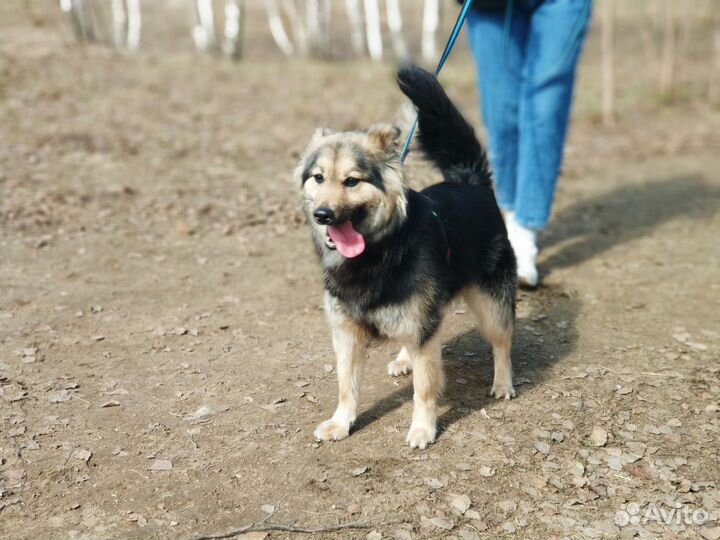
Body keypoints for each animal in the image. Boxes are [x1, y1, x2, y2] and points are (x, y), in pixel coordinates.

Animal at [296, 65, 516, 450]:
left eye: (352, 181)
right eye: (318, 178)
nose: (323, 215)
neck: (379, 250)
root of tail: (469, 180)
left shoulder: (421, 329)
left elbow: (424, 389)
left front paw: (422, 429)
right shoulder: (347, 332)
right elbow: (346, 386)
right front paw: (340, 423)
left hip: (490, 303)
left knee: (502, 341)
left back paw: (503, 383)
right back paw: (403, 360)